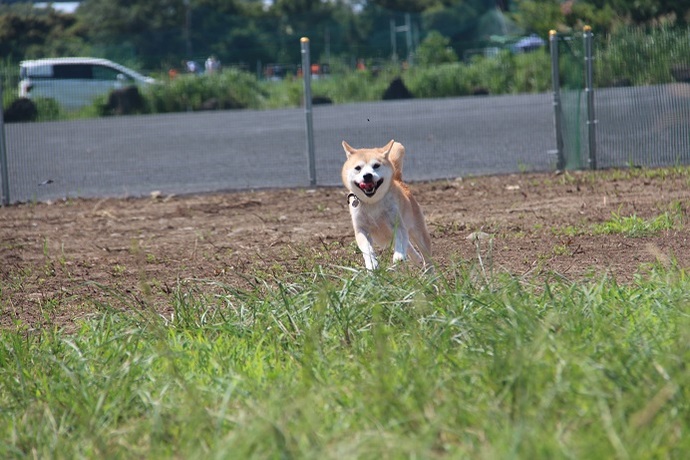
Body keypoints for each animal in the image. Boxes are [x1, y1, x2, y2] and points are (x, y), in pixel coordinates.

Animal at [340, 138, 430, 272]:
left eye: (376, 166)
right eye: (358, 168)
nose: (367, 175)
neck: (372, 203)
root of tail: (398, 180)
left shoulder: (397, 224)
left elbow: (400, 239)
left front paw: (398, 255)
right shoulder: (361, 229)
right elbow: (367, 248)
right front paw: (372, 264)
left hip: (419, 234)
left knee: (425, 256)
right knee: (408, 245)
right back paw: (416, 258)